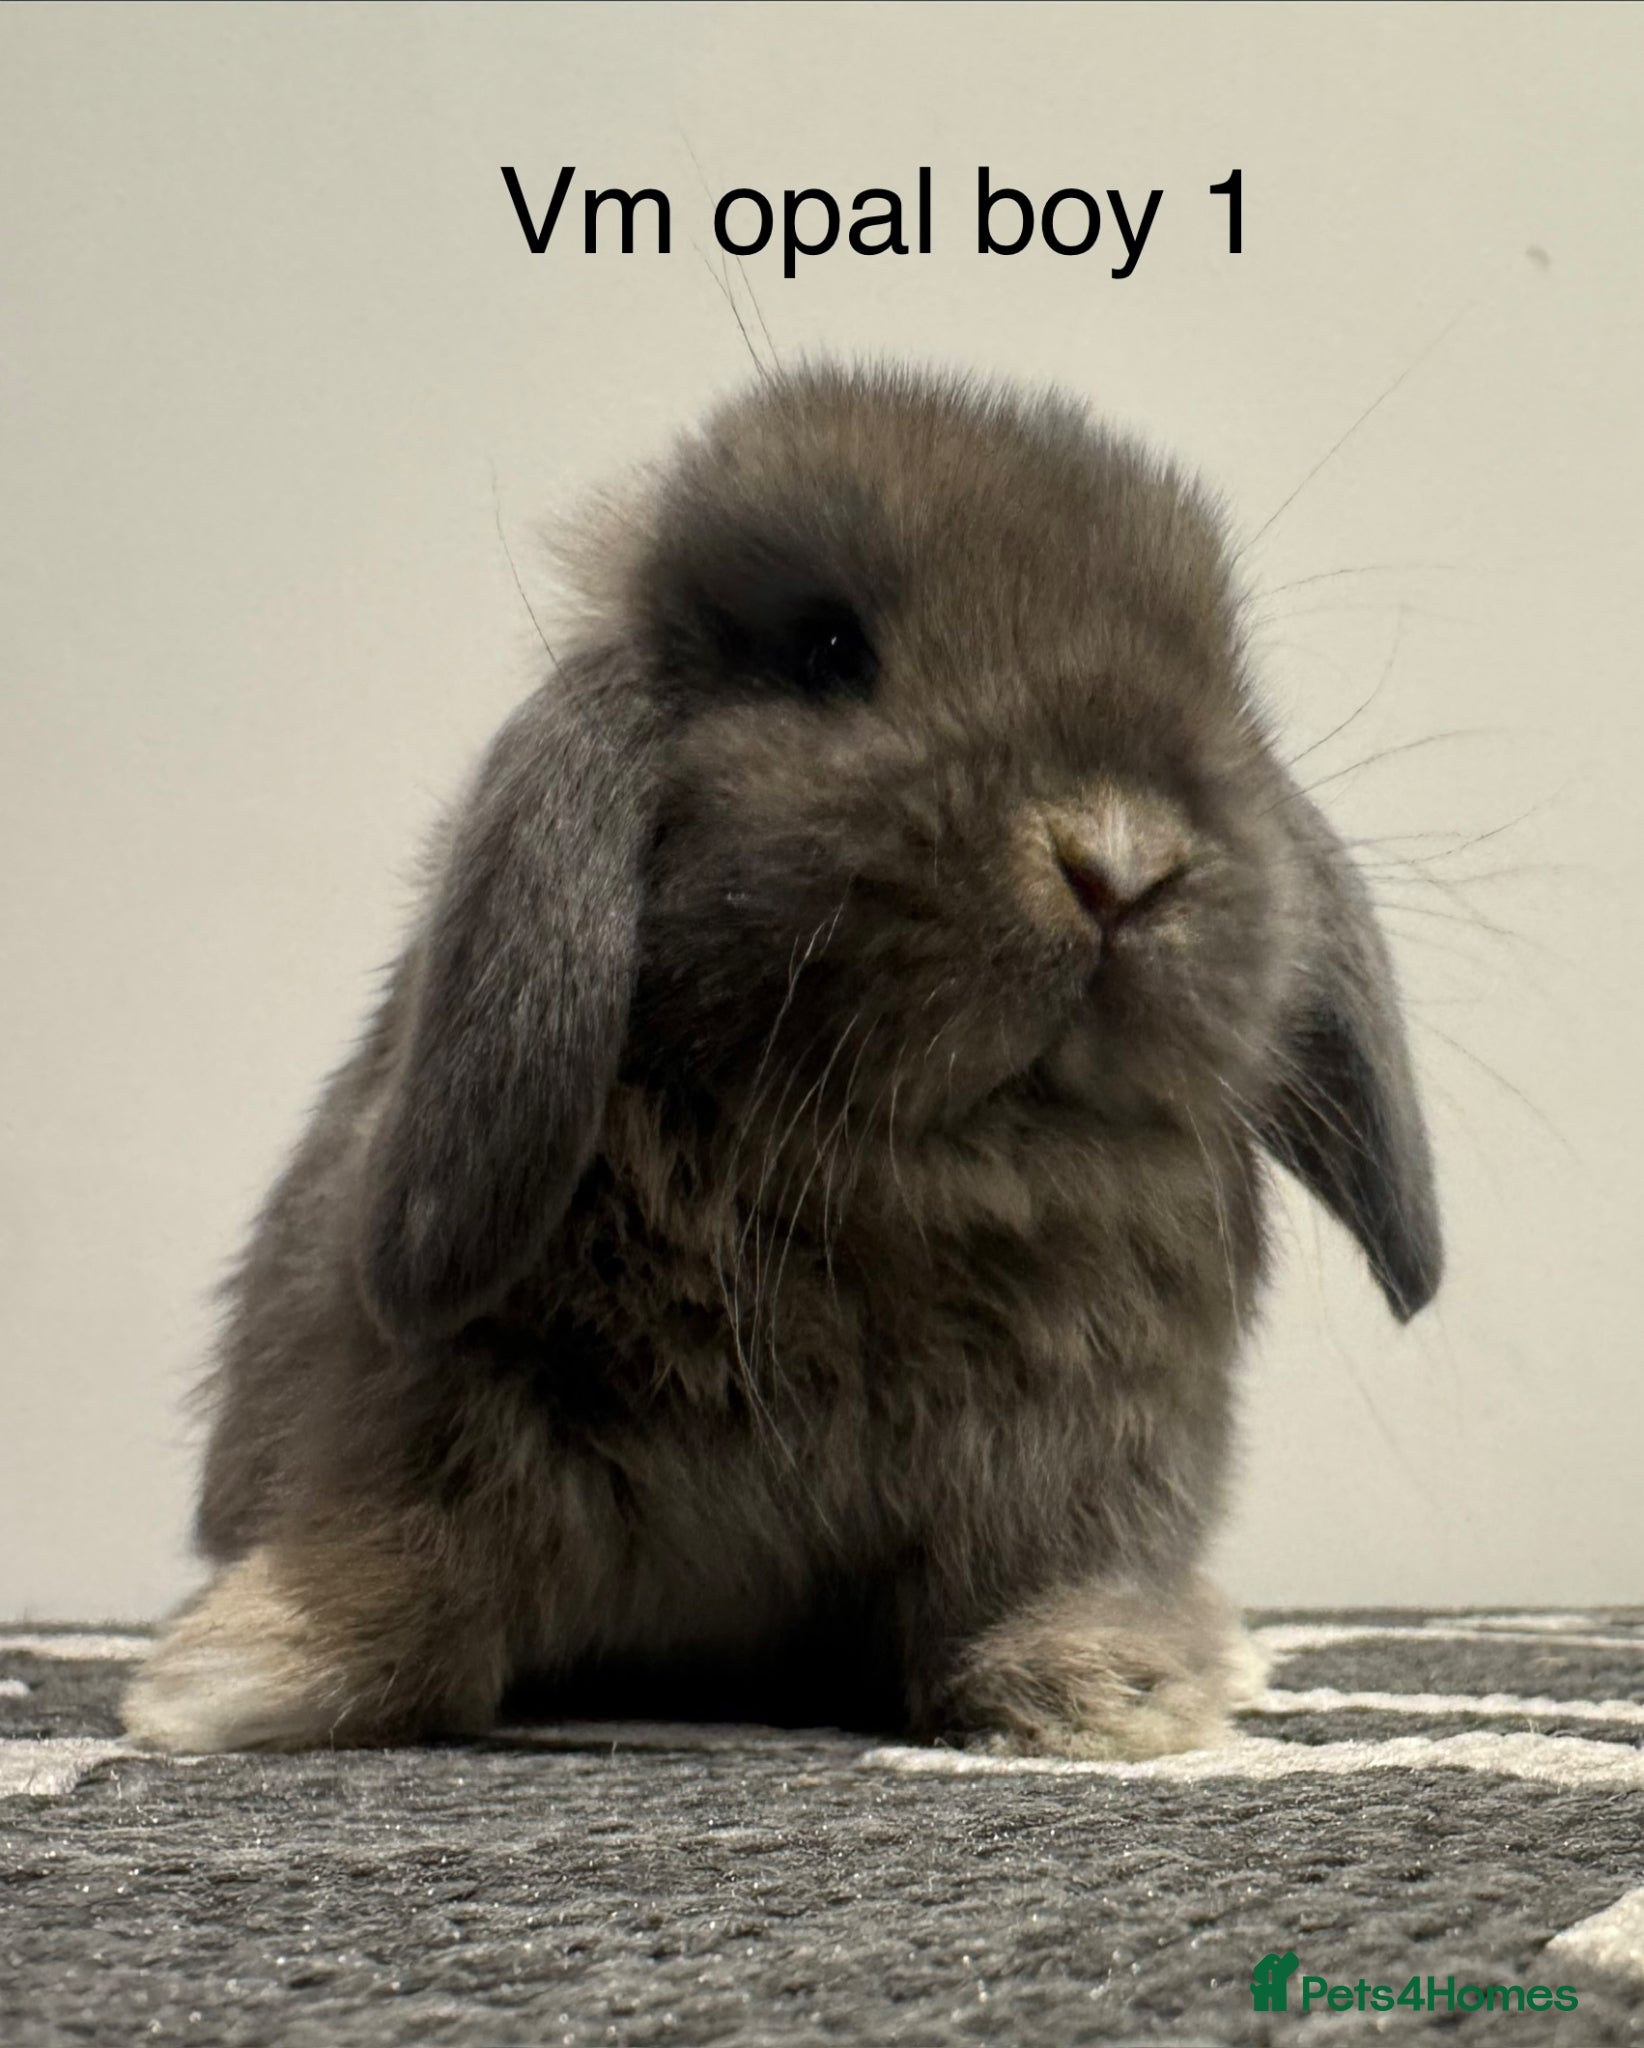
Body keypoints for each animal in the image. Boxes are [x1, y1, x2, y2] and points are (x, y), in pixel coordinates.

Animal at [123, 362, 1441, 1759]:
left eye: (1225, 685)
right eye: (827, 652)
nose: (1120, 861)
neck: (902, 1190)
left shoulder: (1082, 1457)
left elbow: (1048, 1575)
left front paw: (1111, 1684)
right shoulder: (429, 1401)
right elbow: (416, 1548)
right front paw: (243, 1670)